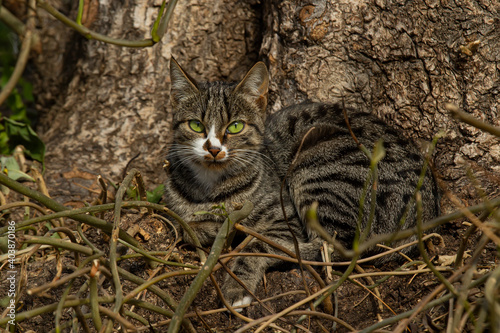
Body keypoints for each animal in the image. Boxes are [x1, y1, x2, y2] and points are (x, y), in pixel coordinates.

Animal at [164, 57, 438, 308]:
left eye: (235, 126)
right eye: (196, 125)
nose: (213, 149)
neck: (210, 187)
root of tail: (429, 211)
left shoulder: (285, 221)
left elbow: (261, 245)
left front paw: (236, 284)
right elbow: (182, 223)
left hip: (319, 165)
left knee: (333, 249)